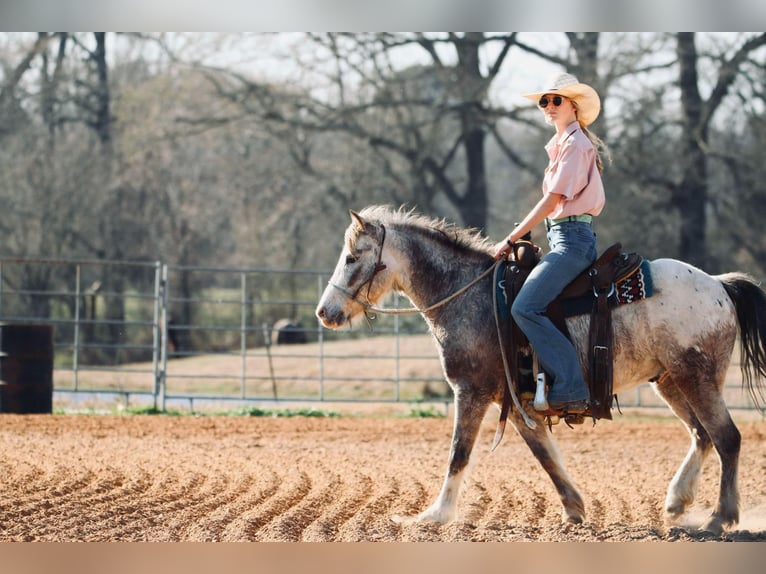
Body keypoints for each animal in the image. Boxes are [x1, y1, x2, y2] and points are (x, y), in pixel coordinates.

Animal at [314, 206, 766, 536]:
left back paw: (720, 518)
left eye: (352, 257)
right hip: (670, 381)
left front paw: (434, 516)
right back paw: (677, 500)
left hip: (696, 378)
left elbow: (459, 453)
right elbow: (545, 456)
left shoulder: (471, 391)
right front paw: (575, 508)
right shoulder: (516, 402)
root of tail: (720, 285)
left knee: (726, 437)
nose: (324, 312)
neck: (472, 295)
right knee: (702, 435)